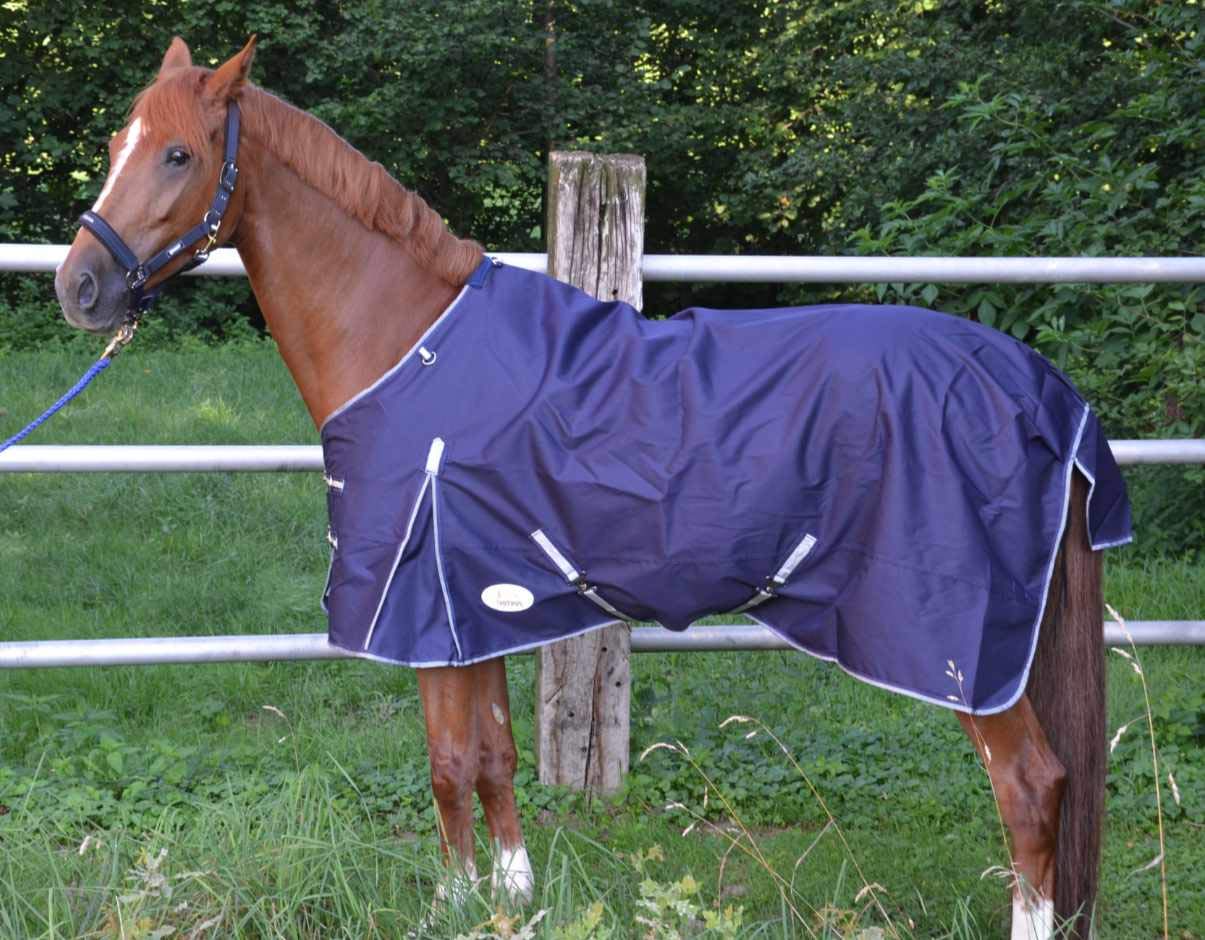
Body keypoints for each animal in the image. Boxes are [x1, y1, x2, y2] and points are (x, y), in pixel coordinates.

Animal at [53, 37, 1129, 938]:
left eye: (178, 156)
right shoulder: (472, 607)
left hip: (963, 649)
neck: (409, 345)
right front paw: (509, 894)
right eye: (114, 143)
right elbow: (491, 758)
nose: (80, 287)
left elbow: (446, 763)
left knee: (1030, 786)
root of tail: (1037, 387)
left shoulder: (422, 602)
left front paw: (452, 905)